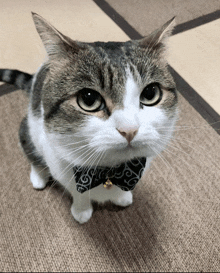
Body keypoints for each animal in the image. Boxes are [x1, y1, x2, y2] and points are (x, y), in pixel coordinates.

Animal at [0, 12, 178, 223]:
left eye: (151, 94)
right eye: (88, 99)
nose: (129, 129)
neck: (110, 172)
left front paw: (122, 196)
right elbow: (79, 194)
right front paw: (82, 210)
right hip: (28, 129)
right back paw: (39, 177)